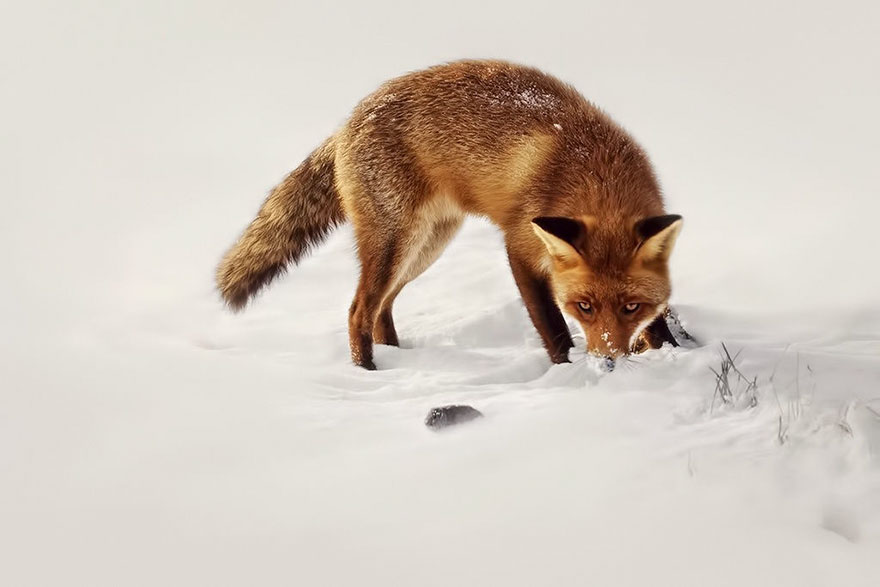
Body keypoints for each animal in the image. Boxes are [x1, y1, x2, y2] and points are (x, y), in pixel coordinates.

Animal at [216, 60, 683, 370]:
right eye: (583, 307)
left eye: (631, 307)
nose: (608, 362)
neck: (596, 176)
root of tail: (349, 121)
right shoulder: (520, 247)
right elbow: (553, 330)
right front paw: (569, 374)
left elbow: (659, 322)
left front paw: (669, 351)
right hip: (397, 243)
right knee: (357, 312)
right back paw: (369, 375)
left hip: (426, 246)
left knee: (382, 309)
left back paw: (397, 358)